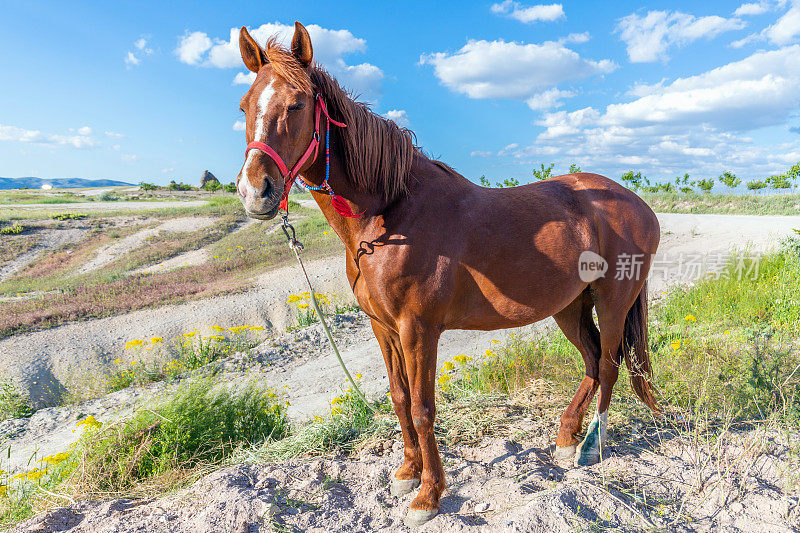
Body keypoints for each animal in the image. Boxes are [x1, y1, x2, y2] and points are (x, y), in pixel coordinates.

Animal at [234, 22, 660, 524]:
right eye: (244, 105)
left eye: (298, 104)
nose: (255, 192)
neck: (391, 216)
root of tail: (636, 202)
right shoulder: (383, 328)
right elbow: (399, 398)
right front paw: (407, 473)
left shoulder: (418, 330)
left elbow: (423, 408)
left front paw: (428, 495)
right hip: (570, 305)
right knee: (593, 362)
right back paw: (564, 438)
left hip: (614, 301)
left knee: (611, 365)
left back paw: (592, 446)